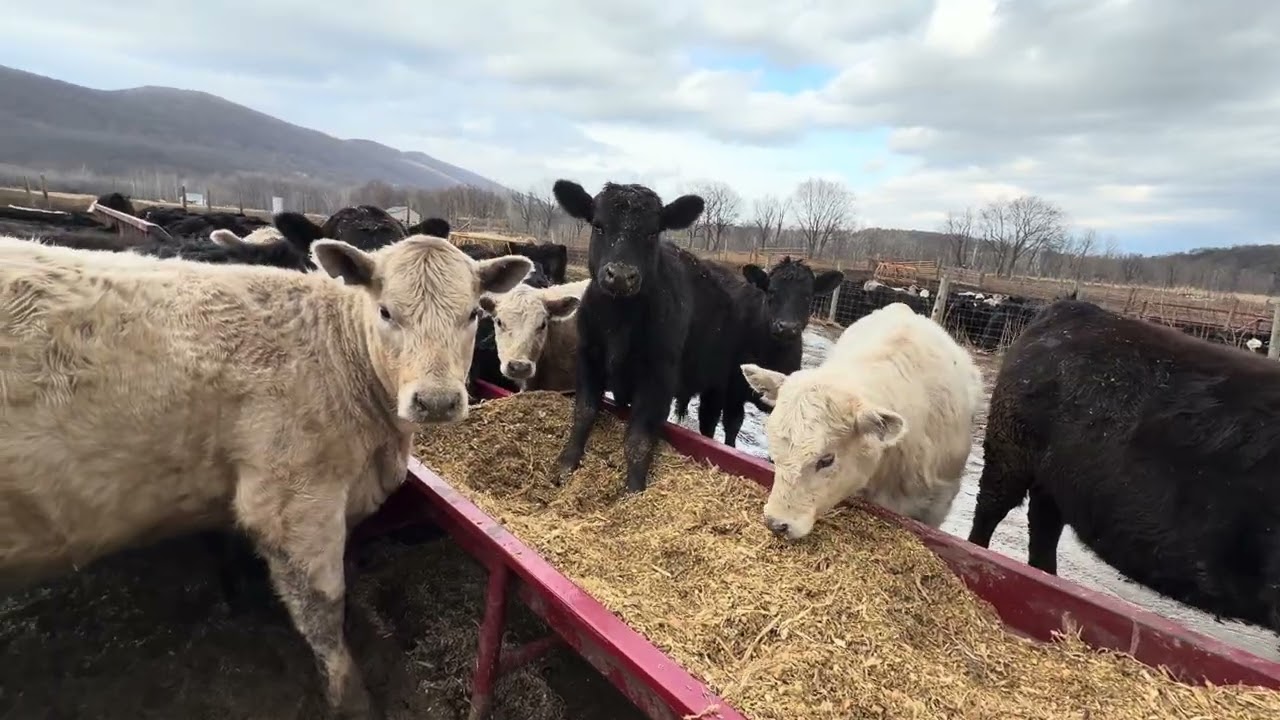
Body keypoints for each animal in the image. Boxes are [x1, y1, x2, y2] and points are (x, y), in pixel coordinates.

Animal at [0, 233, 533, 717]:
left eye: (472, 314)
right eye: (386, 312)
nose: (437, 401)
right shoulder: (292, 501)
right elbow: (323, 606)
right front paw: (351, 698)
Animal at [550, 179, 738, 493]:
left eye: (653, 232)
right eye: (599, 226)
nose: (621, 275)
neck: (619, 321)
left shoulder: (659, 378)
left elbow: (638, 439)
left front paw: (634, 490)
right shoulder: (588, 356)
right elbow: (584, 412)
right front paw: (566, 463)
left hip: (721, 384)